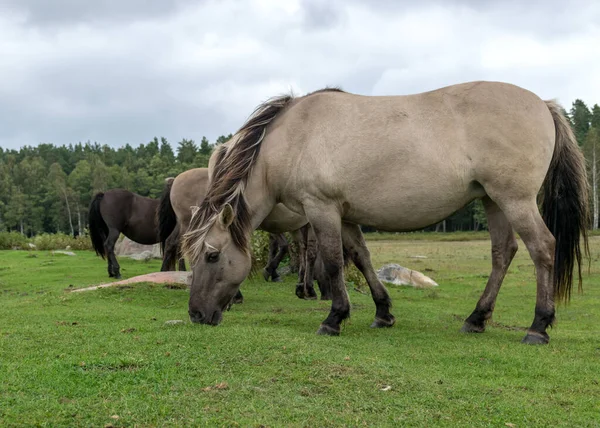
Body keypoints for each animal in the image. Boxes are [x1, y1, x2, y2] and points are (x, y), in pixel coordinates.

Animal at [180, 83, 588, 344]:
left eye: (212, 256)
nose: (196, 315)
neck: (293, 138)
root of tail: (543, 103)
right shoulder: (345, 214)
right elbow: (361, 258)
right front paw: (382, 312)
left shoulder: (321, 209)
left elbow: (333, 262)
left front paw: (334, 318)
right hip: (493, 200)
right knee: (503, 252)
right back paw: (476, 319)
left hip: (515, 199)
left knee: (542, 248)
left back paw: (538, 326)